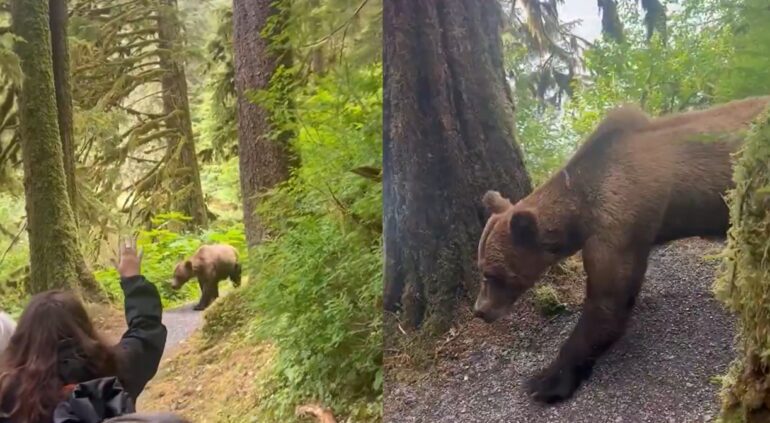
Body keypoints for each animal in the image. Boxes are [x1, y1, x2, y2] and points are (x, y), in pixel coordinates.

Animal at [474, 95, 770, 404]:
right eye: (481, 267)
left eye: (492, 274)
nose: (479, 310)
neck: (580, 211)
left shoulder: (617, 222)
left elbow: (607, 300)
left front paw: (545, 380)